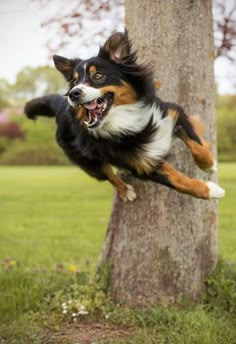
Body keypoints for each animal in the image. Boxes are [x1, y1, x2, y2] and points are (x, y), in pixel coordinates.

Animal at [24, 31, 225, 202]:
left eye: (98, 75)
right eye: (74, 81)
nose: (73, 93)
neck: (123, 117)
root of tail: (59, 106)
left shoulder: (170, 112)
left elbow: (196, 144)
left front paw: (209, 164)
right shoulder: (140, 165)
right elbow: (177, 181)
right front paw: (210, 190)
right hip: (85, 159)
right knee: (107, 174)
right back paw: (125, 190)